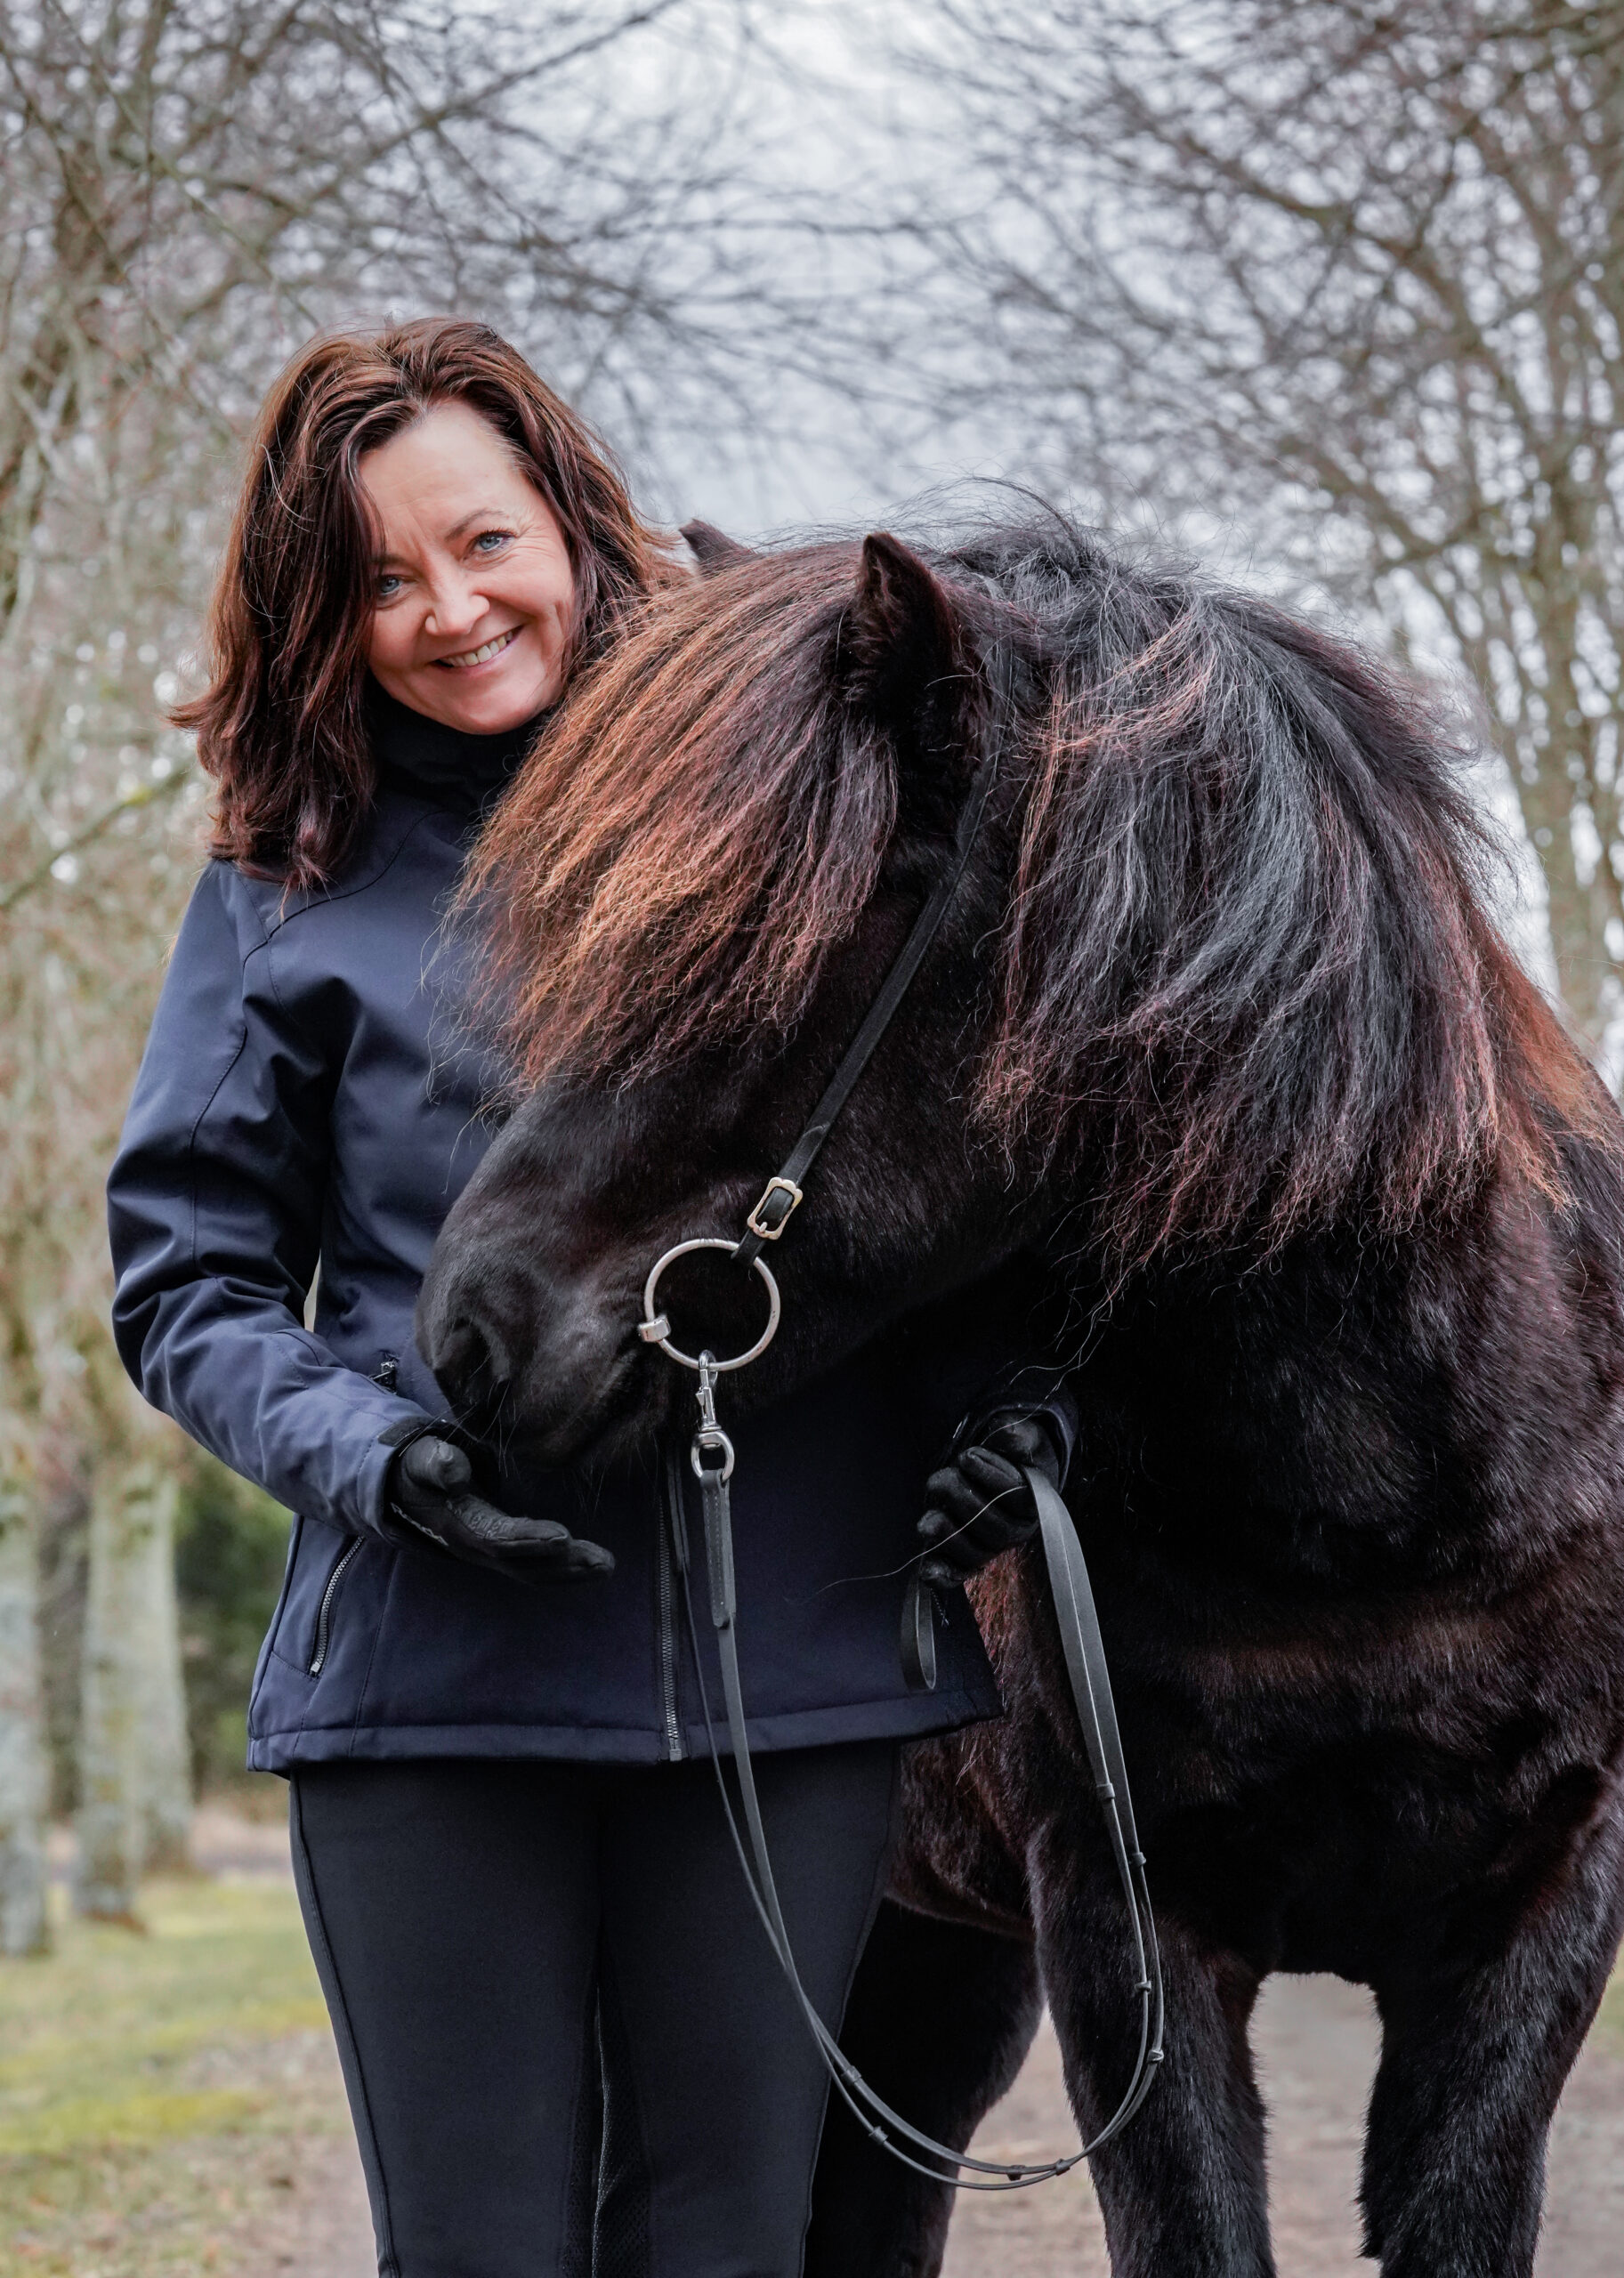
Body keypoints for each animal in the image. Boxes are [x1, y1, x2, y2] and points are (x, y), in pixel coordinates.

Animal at [414, 521, 1621, 2278]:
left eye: (751, 948)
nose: (470, 1335)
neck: (1385, 1515)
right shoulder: (1124, 1933)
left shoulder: (1539, 1907)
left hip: (925, 1978)